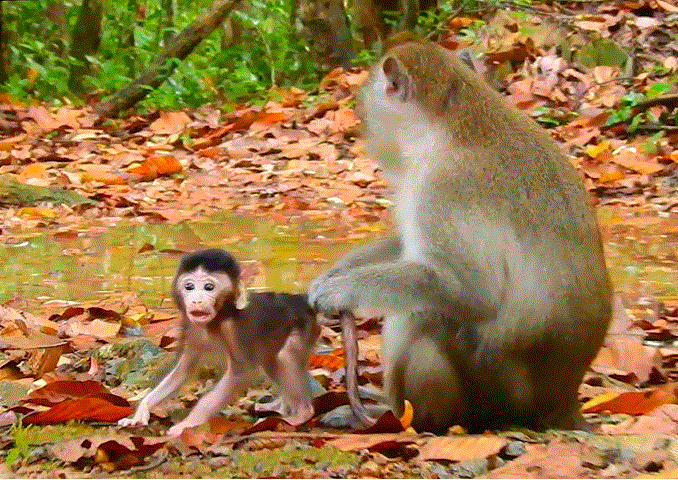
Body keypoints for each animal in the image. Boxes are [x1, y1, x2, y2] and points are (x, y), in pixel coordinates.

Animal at [118, 249, 320, 436]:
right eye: (189, 287)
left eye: (208, 287)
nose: (197, 300)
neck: (217, 319)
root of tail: (302, 301)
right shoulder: (191, 327)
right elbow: (182, 371)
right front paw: (142, 411)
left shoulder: (232, 329)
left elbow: (240, 371)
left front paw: (188, 424)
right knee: (272, 362)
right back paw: (282, 407)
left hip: (305, 327)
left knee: (283, 358)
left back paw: (302, 413)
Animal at [309, 39, 612, 434]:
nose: (363, 131)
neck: (454, 124)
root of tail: (561, 401)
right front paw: (335, 273)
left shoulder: (443, 187)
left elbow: (473, 289)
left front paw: (341, 288)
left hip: (496, 392)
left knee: (421, 316)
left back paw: (404, 420)